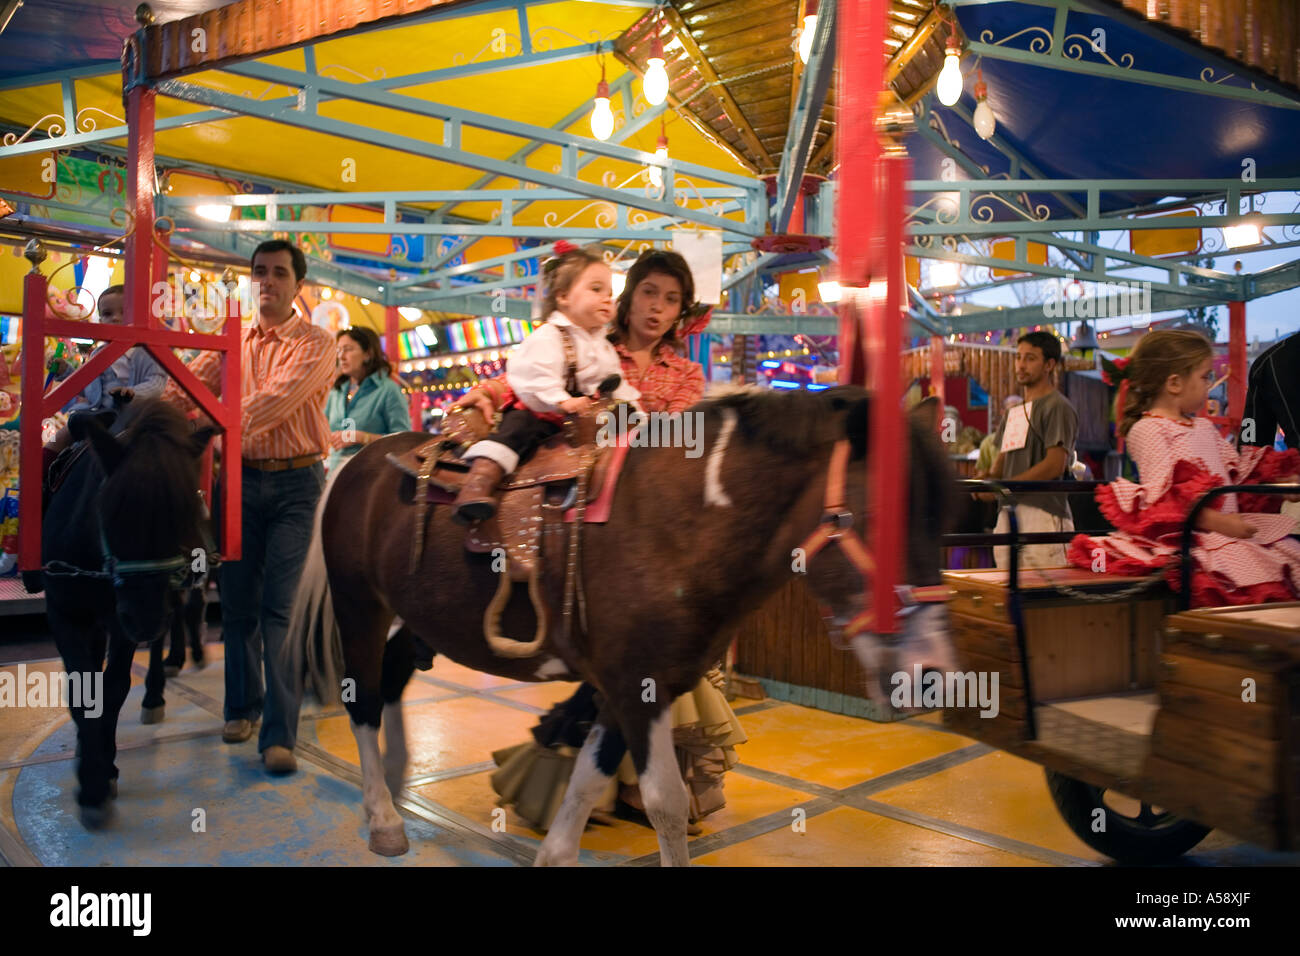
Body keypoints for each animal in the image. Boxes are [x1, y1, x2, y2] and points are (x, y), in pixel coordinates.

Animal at [41, 400, 213, 827]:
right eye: (109, 511)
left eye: (186, 513)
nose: (145, 618)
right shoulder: (65, 613)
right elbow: (83, 691)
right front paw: (90, 776)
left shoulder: (125, 621)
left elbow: (115, 687)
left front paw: (102, 773)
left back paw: (155, 690)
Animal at [292, 387, 956, 868]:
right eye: (883, 520)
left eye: (950, 516)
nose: (933, 676)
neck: (674, 527)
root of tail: (360, 460)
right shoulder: (639, 690)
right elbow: (665, 802)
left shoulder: (621, 688)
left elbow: (587, 785)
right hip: (359, 607)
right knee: (363, 700)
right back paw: (383, 818)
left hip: (416, 621)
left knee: (393, 682)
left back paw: (397, 780)